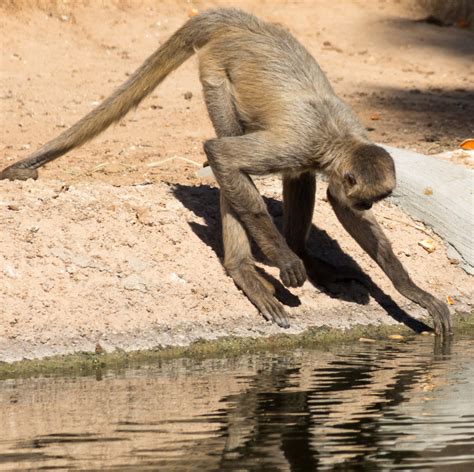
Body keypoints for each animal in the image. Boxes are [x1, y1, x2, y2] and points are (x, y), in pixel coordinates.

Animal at [0, 9, 452, 338]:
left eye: (373, 201)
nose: (367, 205)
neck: (337, 136)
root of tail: (245, 24)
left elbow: (343, 210)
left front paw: (412, 291)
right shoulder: (303, 143)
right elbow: (223, 155)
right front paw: (282, 259)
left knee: (296, 177)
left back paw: (302, 253)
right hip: (217, 74)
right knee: (226, 152)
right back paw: (246, 268)